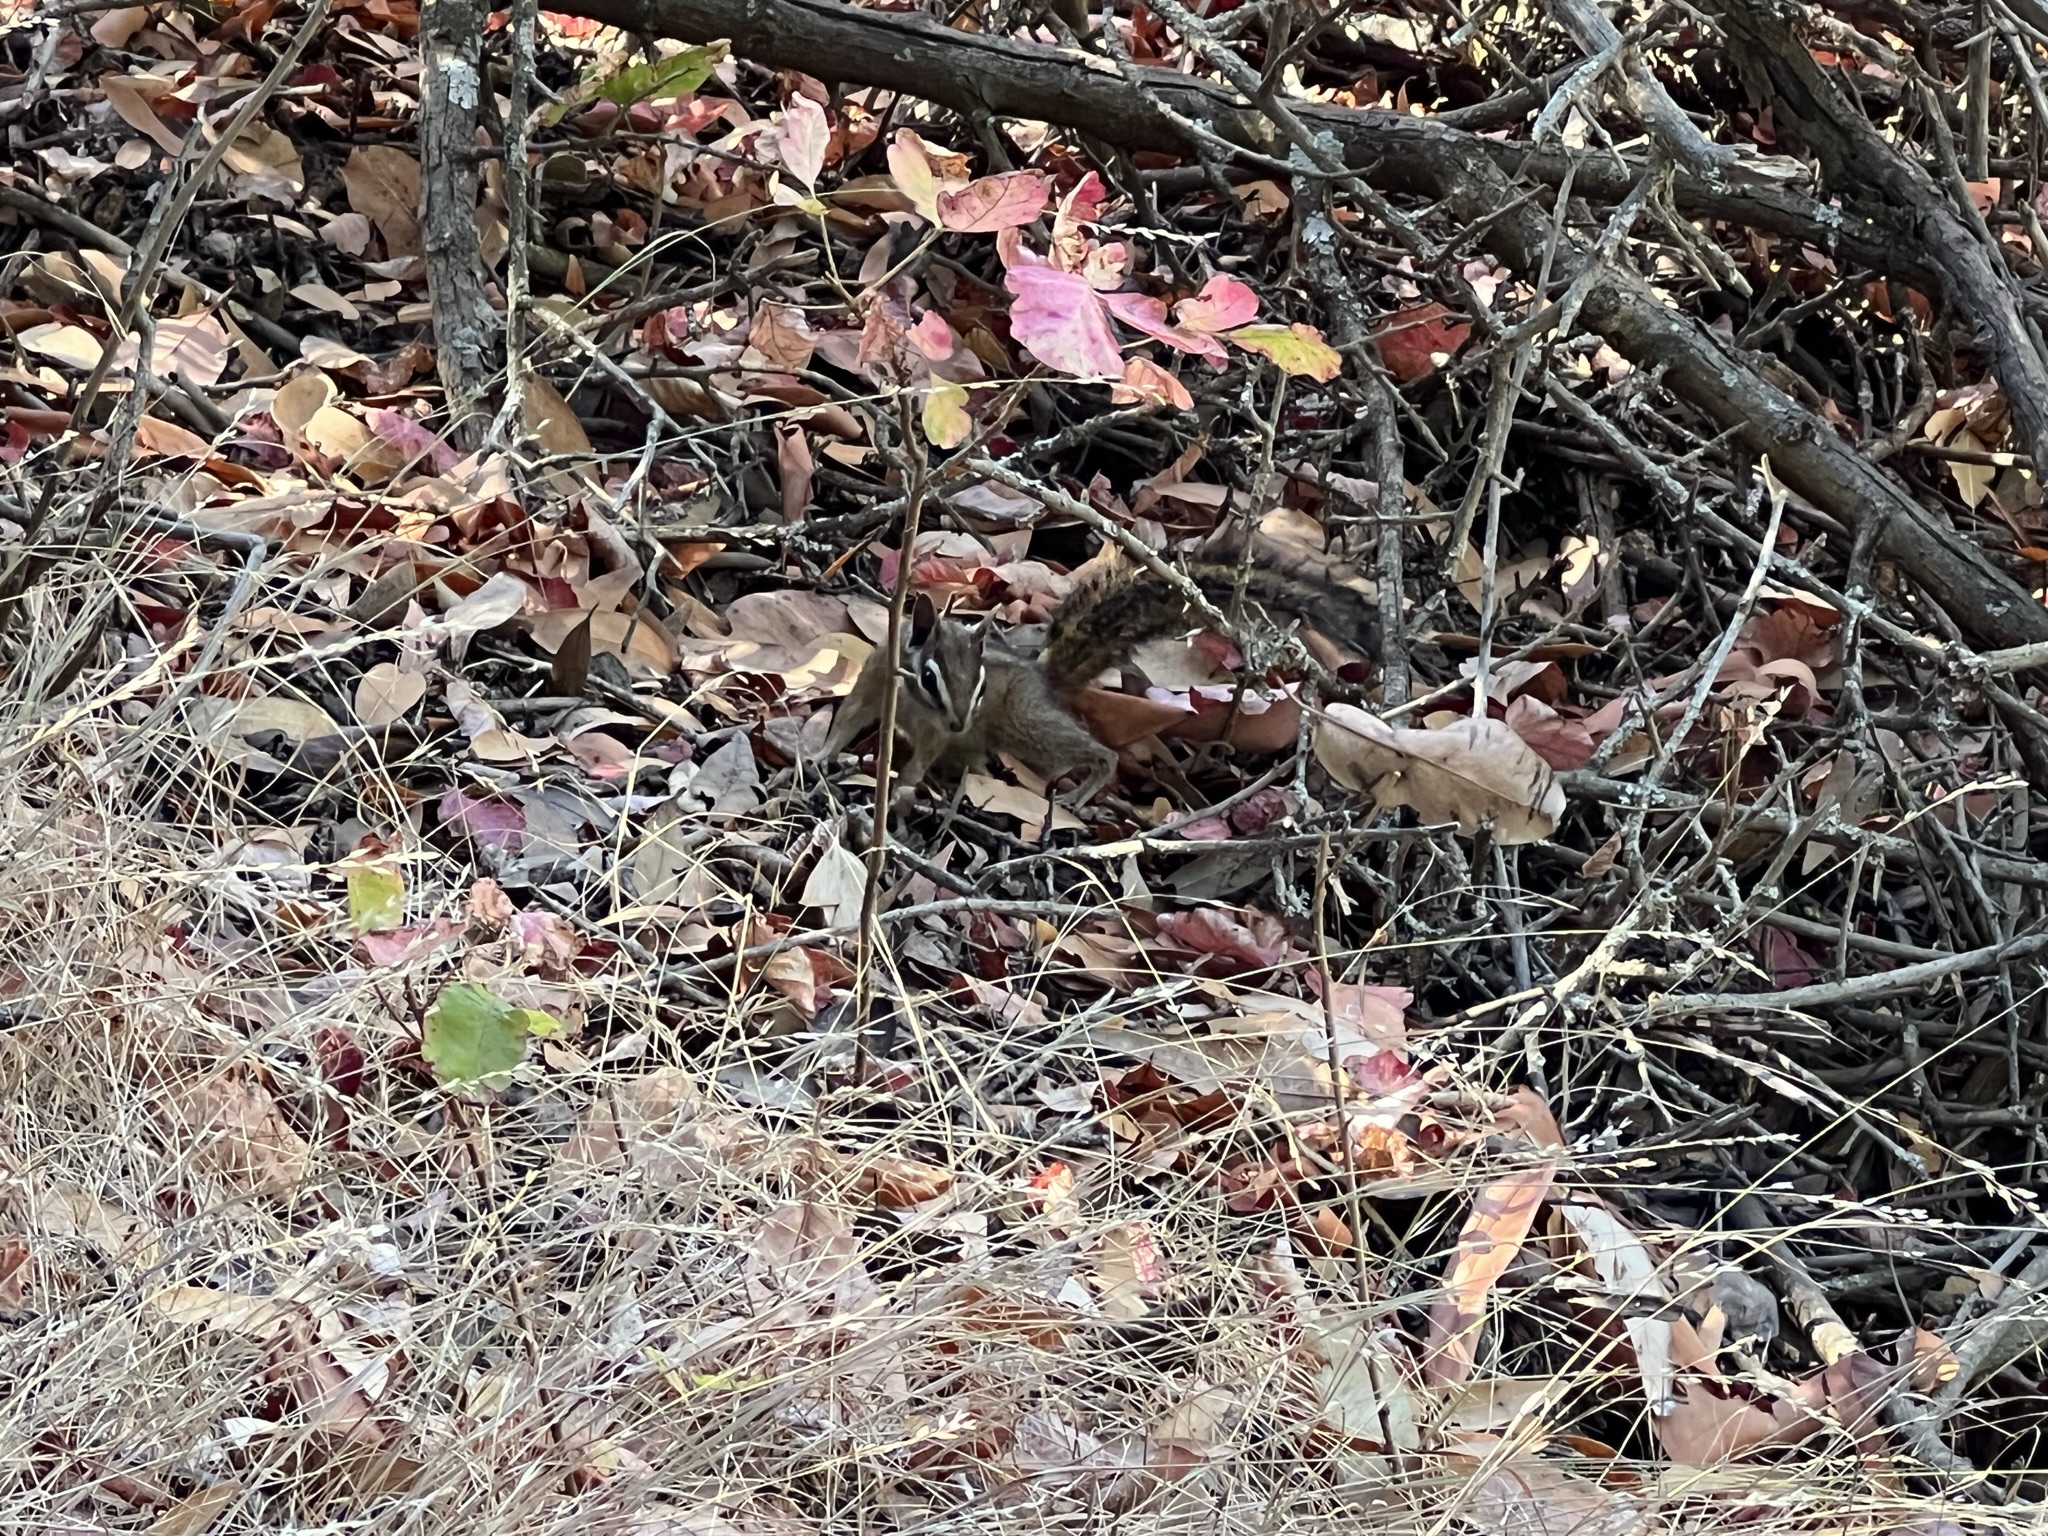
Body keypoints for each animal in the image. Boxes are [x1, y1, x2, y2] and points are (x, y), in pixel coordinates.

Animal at [819, 542, 1377, 805]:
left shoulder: (937, 732)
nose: (959, 721)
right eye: (931, 676)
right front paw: (823, 755)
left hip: (1028, 725)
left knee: (1098, 753)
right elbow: (848, 718)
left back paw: (1080, 790)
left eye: (979, 688)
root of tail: (1043, 679)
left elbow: (923, 754)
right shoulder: (874, 678)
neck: (914, 702)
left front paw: (904, 785)